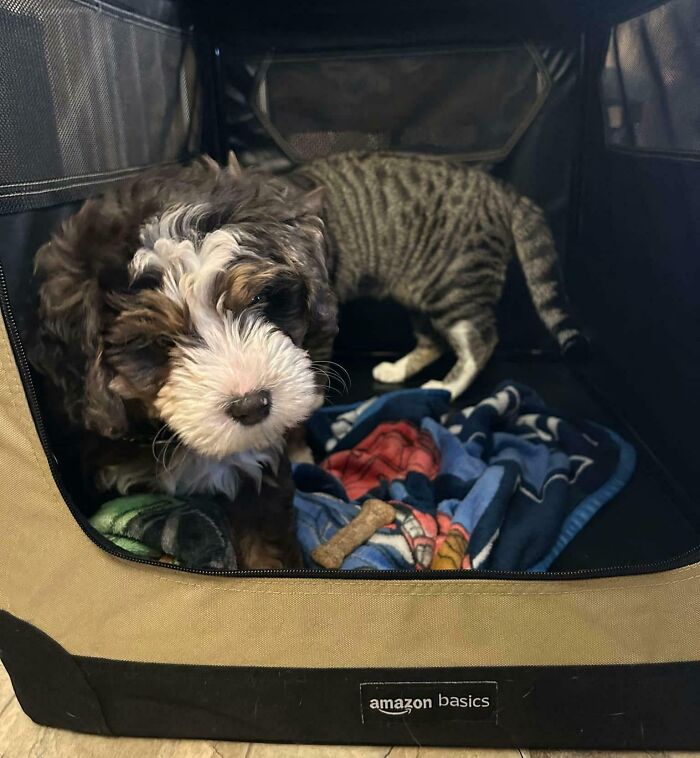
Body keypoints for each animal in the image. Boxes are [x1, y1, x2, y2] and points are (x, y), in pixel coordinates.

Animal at [292, 155, 584, 404]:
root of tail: (503, 190)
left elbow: (317, 356)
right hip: (420, 291)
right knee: (434, 341)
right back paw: (398, 369)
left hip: (453, 288)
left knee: (480, 342)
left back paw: (447, 388)